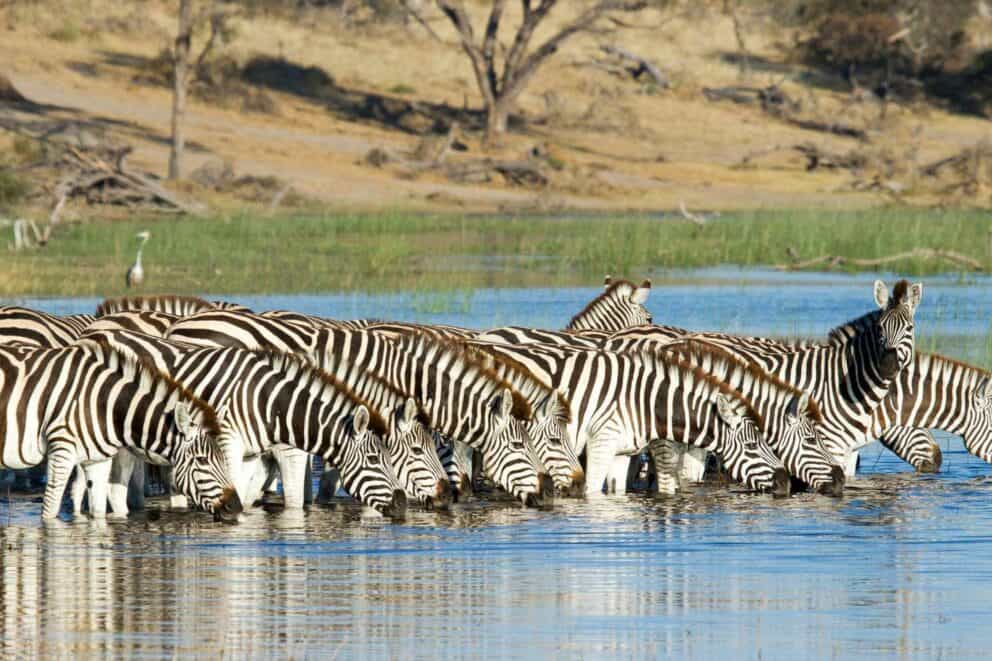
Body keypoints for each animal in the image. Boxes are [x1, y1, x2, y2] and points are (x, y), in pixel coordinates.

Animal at [0, 340, 242, 521]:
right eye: (202, 461)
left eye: (223, 459)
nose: (236, 506)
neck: (105, 404)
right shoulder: (62, 449)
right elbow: (49, 512)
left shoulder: (97, 460)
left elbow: (98, 513)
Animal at [76, 329, 421, 515]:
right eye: (375, 459)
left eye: (392, 456)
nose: (403, 504)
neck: (272, 404)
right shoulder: (233, 445)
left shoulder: (253, 454)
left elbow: (247, 493)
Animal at [465, 339, 790, 497]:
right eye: (752, 447)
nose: (786, 482)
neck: (644, 401)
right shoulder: (601, 443)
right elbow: (594, 490)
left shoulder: (622, 452)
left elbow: (618, 492)